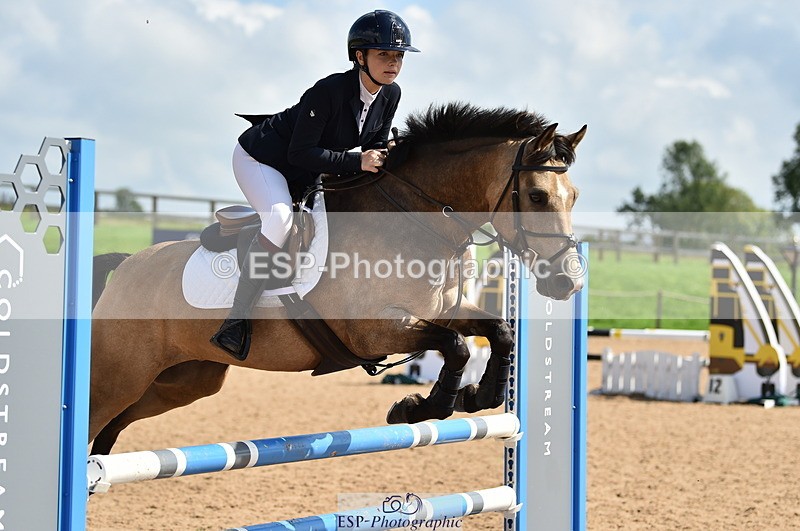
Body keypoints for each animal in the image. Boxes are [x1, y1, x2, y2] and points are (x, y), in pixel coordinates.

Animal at [89, 102, 587, 455]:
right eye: (537, 196)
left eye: (575, 196)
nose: (567, 283)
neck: (413, 219)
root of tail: (127, 266)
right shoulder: (372, 331)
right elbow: (456, 346)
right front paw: (419, 407)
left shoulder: (443, 310)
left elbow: (497, 331)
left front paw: (475, 396)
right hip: (122, 374)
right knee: (95, 416)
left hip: (183, 380)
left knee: (114, 426)